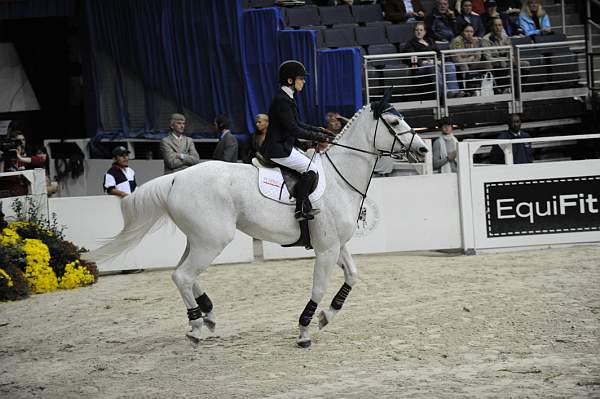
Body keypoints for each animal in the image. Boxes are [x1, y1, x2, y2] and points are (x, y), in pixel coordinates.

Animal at [88, 101, 426, 348]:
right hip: (212, 241)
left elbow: (353, 277)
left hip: (199, 239)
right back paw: (196, 325)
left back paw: (207, 315)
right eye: (395, 123)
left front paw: (327, 317)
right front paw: (304, 332)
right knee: (182, 275)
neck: (340, 179)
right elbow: (318, 288)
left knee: (183, 273)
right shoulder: (327, 249)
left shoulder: (336, 245)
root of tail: (176, 178)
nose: (422, 149)